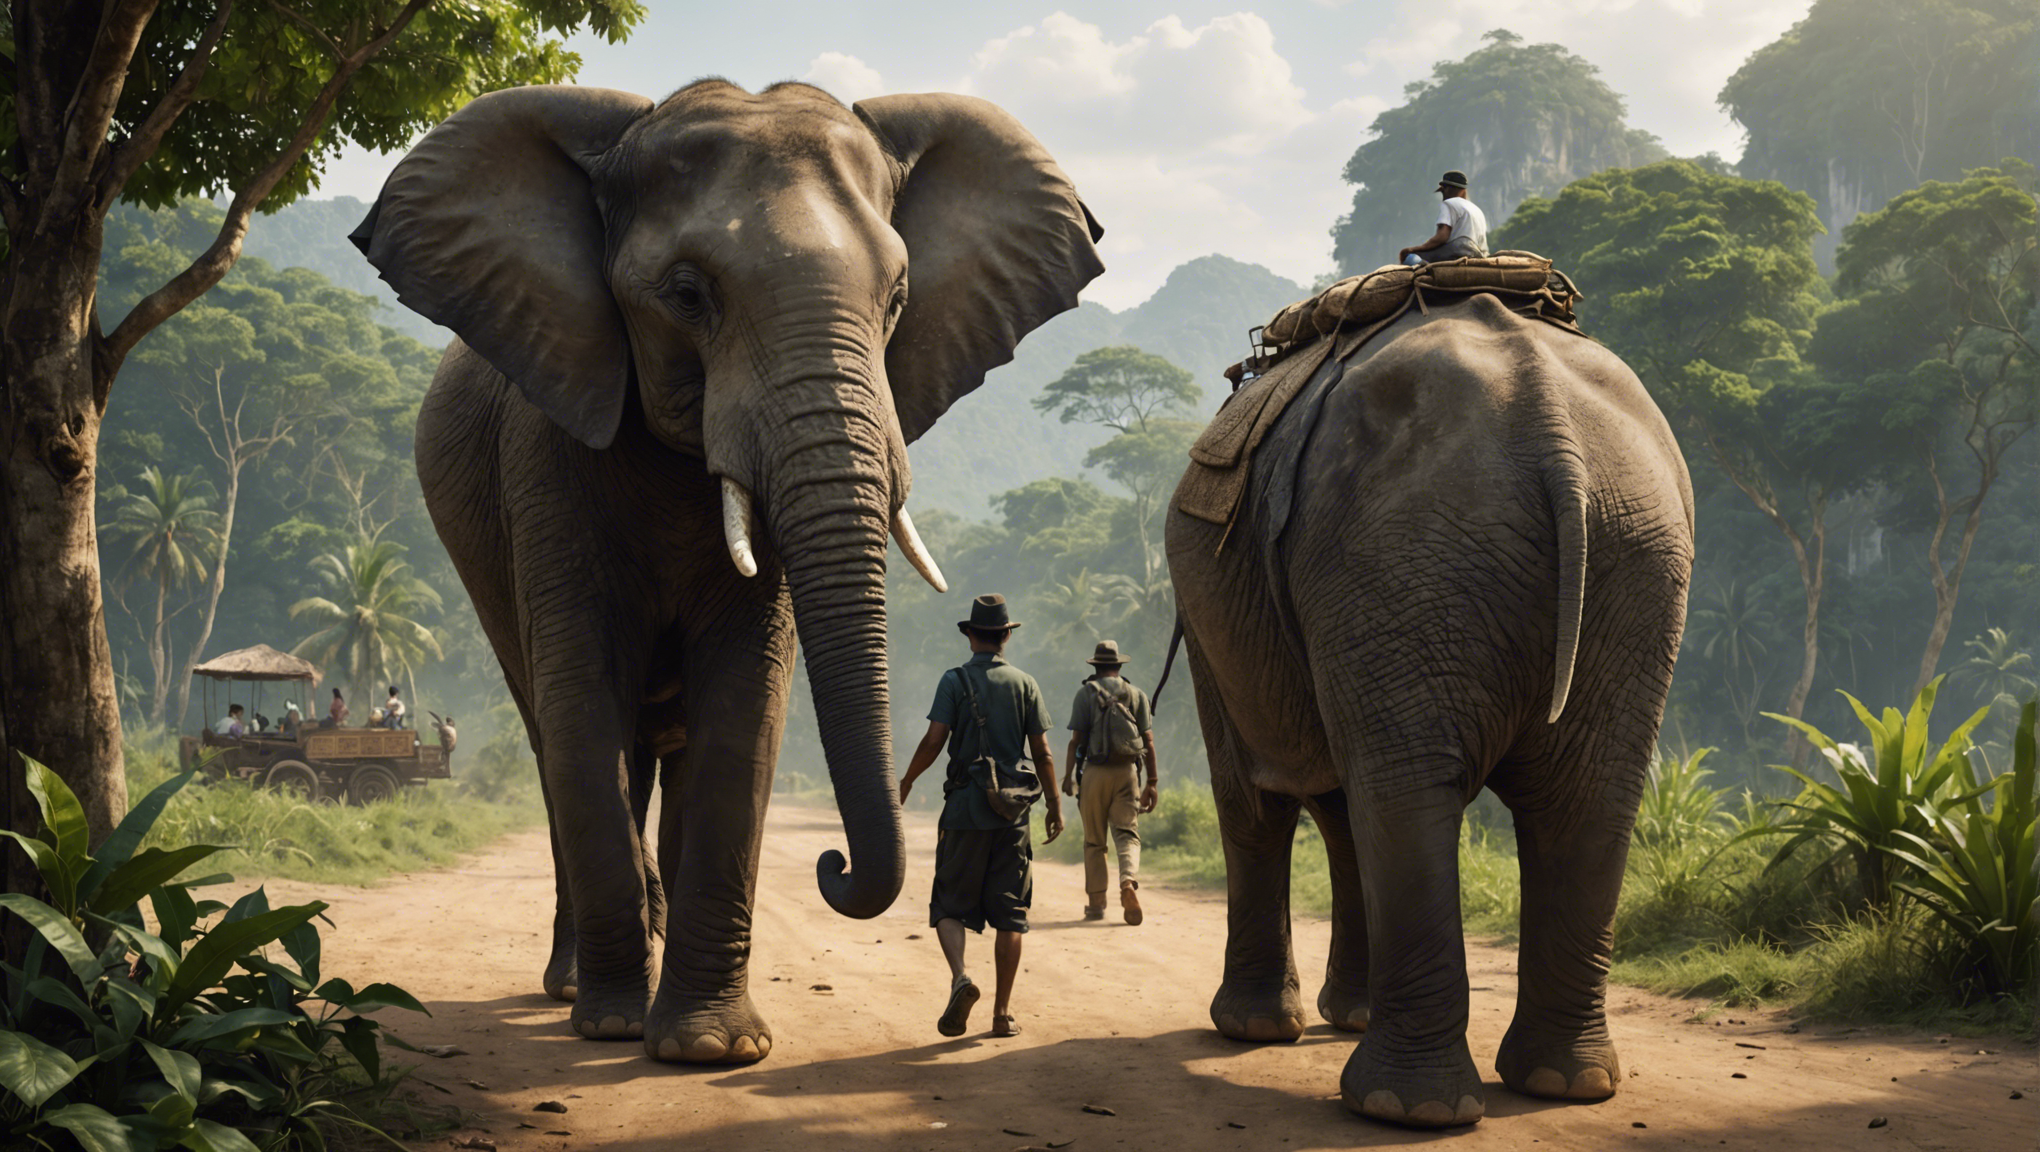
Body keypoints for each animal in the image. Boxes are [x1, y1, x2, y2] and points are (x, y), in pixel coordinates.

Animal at [350, 80, 1103, 1063]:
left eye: (898, 298)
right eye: (686, 295)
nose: (832, 862)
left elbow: (743, 706)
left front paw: (710, 1049)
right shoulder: (546, 447)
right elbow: (582, 699)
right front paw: (615, 1029)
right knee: (563, 742)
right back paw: (575, 990)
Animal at [1165, 294, 1693, 1127]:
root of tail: (1547, 416)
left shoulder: (1216, 626)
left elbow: (1251, 793)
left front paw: (1252, 1031)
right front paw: (1333, 1016)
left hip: (1405, 554)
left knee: (1395, 788)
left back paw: (1399, 1105)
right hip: (1622, 561)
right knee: (1587, 794)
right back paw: (1560, 1084)